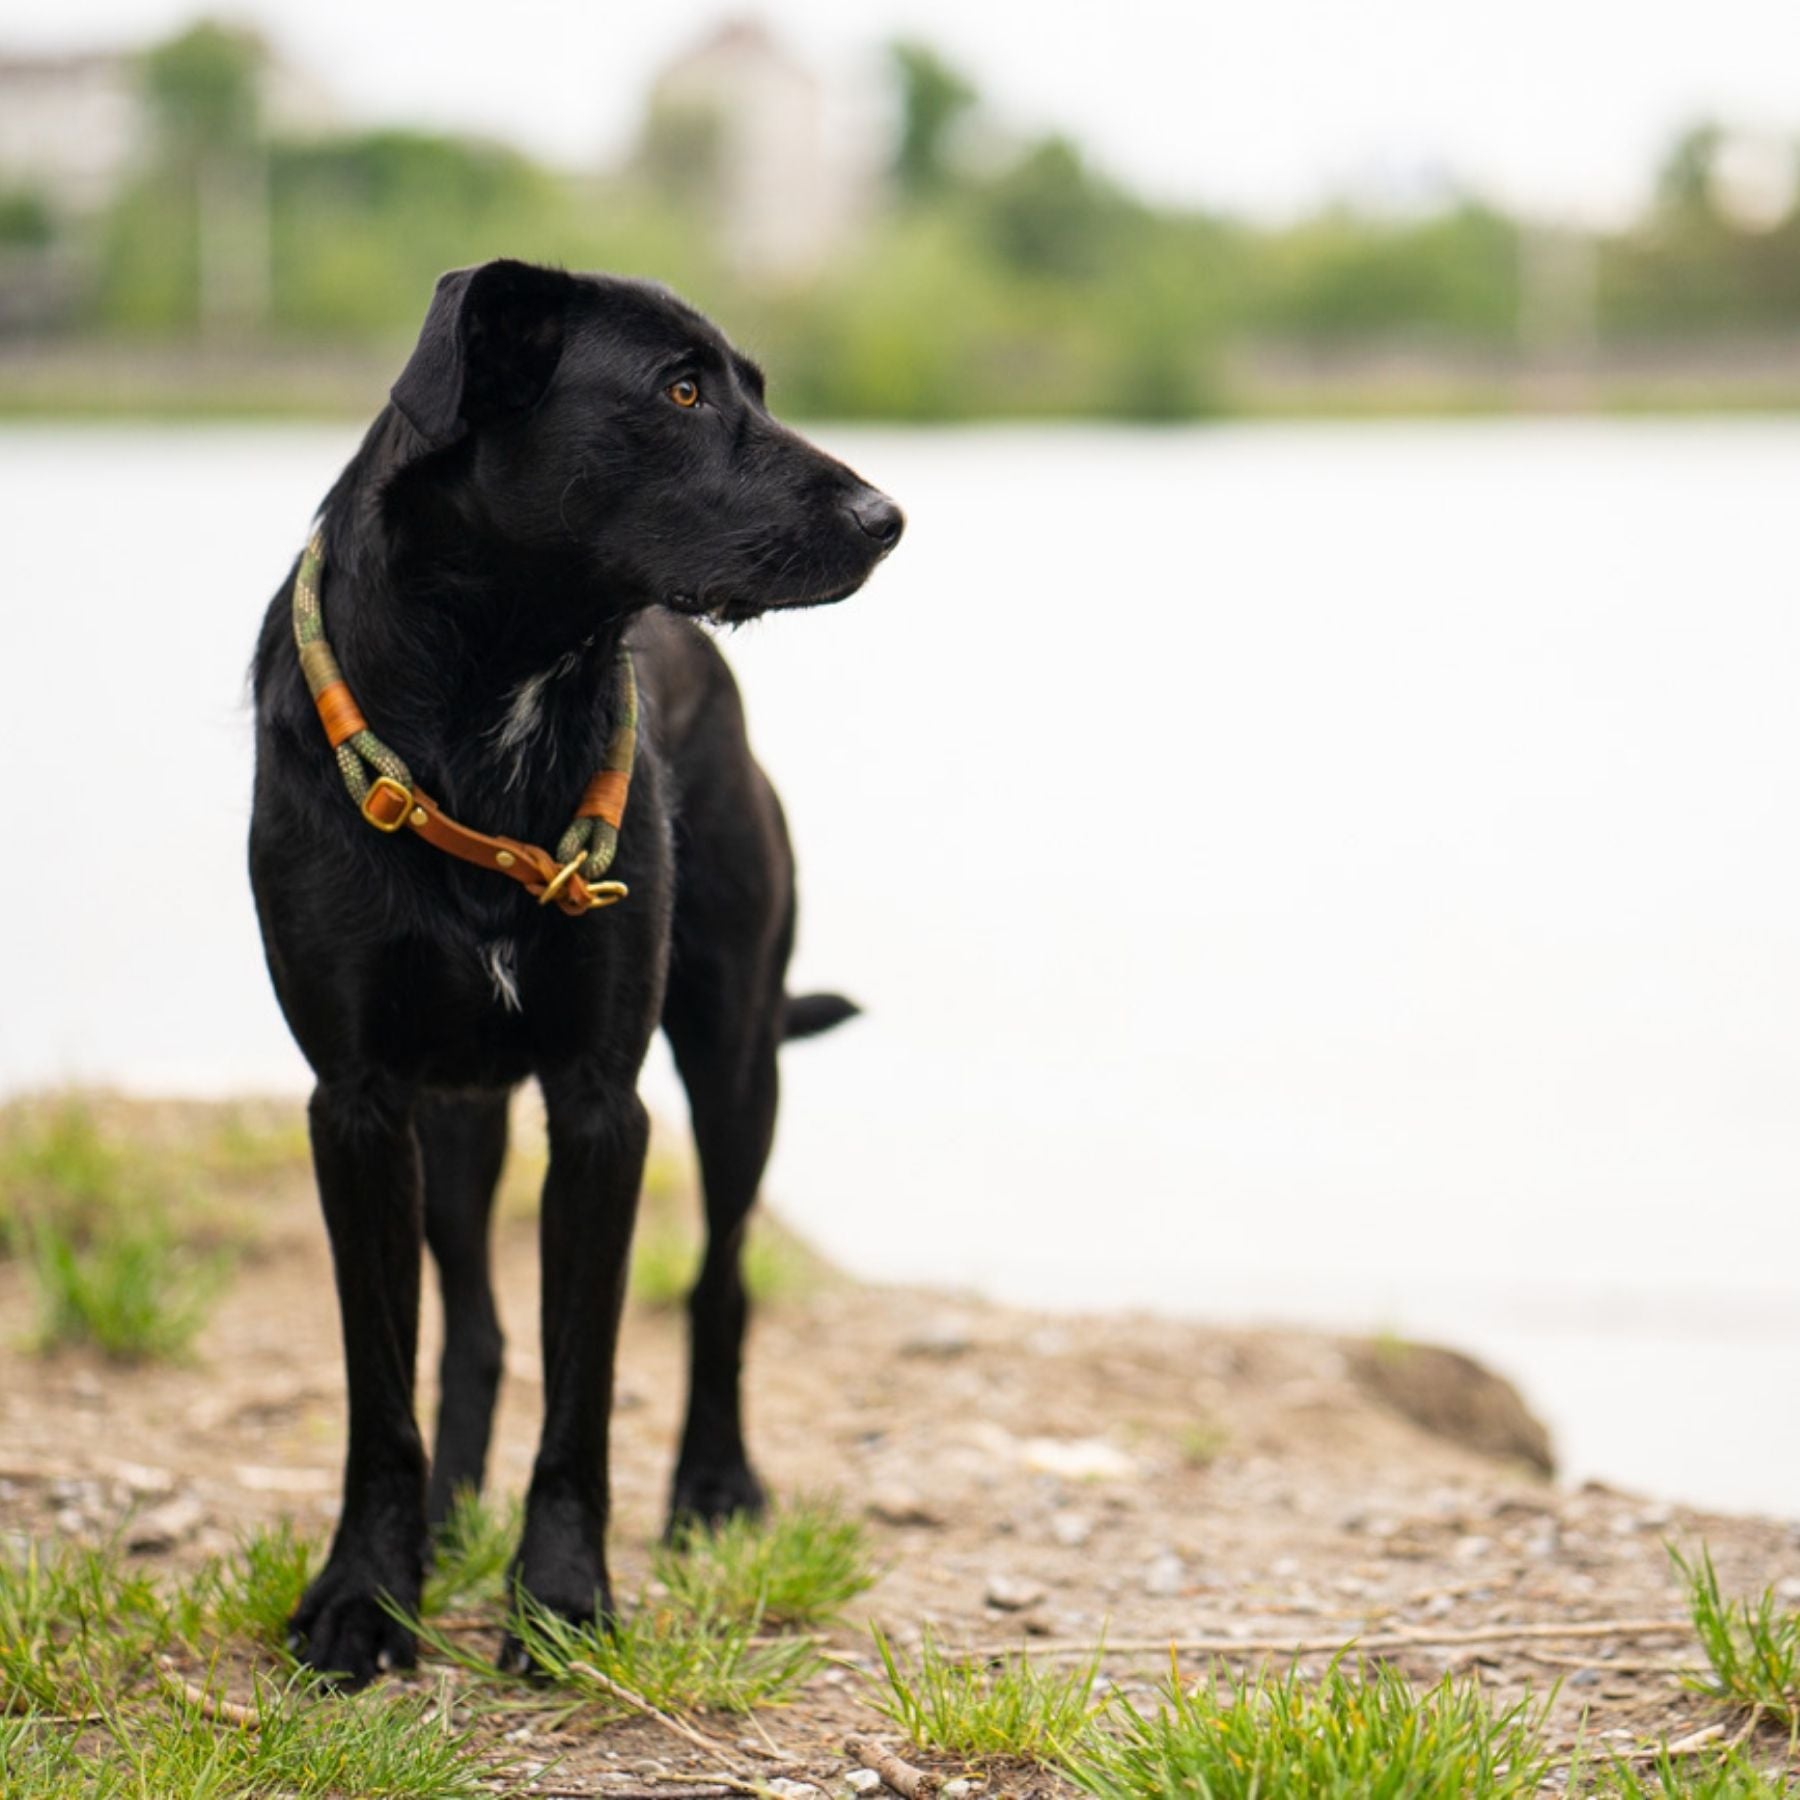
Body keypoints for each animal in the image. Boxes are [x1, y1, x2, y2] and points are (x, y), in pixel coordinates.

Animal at [250, 261, 900, 1677]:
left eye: (753, 383)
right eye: (682, 390)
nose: (889, 519)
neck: (493, 700)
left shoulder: (604, 1104)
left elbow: (587, 1384)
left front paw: (559, 1598)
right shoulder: (358, 1102)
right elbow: (383, 1381)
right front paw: (366, 1592)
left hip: (733, 1057)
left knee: (719, 1285)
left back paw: (714, 1486)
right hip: (457, 1113)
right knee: (478, 1331)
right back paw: (448, 1516)